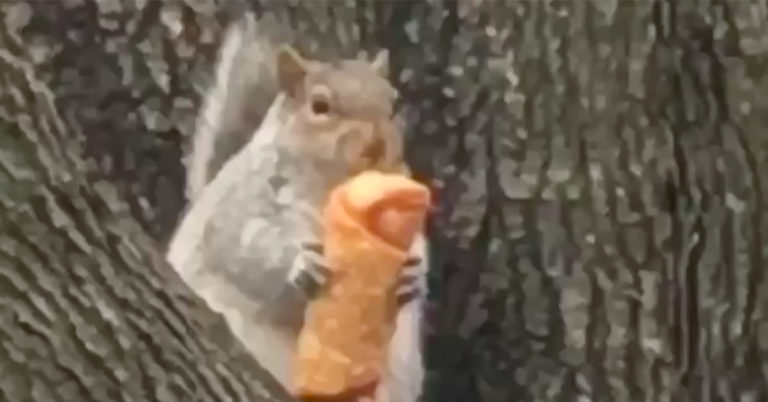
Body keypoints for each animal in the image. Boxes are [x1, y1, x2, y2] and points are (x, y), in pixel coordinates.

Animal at [166, 13, 428, 402]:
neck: (330, 187)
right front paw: (301, 265)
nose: (378, 145)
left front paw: (414, 275)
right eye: (319, 106)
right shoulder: (244, 200)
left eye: (394, 104)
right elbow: (242, 246)